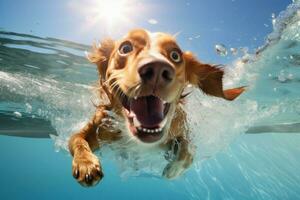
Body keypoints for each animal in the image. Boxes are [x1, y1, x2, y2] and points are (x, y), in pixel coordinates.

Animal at [69, 28, 245, 187]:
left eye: (175, 55)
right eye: (125, 48)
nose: (157, 69)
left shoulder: (180, 130)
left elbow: (187, 149)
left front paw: (174, 168)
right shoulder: (98, 125)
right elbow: (77, 140)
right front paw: (86, 164)